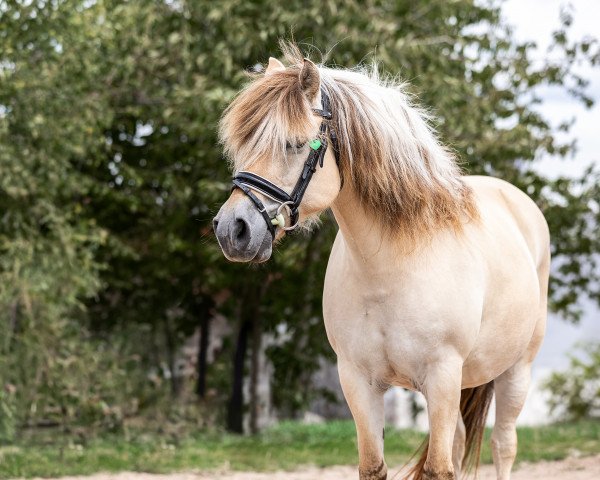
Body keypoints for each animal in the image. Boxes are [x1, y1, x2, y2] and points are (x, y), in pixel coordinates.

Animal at [213, 46, 552, 480]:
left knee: (503, 445)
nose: (232, 230)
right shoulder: (358, 382)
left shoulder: (442, 378)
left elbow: (439, 468)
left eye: (293, 144)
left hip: (517, 370)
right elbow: (374, 466)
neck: (388, 270)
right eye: (243, 144)